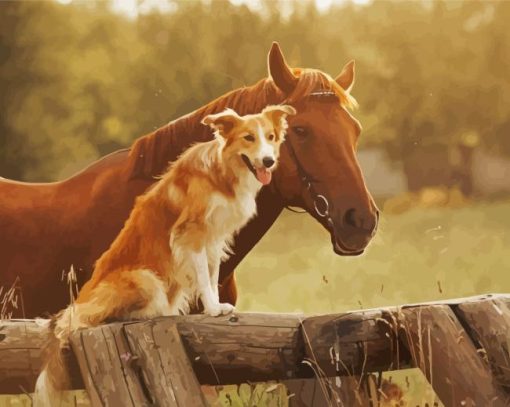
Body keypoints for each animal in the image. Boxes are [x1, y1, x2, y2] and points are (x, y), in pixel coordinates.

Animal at [32, 104, 294, 404]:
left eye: (271, 137)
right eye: (249, 138)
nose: (269, 161)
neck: (222, 172)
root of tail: (80, 300)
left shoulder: (214, 238)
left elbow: (212, 274)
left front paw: (216, 306)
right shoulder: (192, 234)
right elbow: (204, 277)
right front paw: (213, 309)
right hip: (144, 279)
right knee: (83, 320)